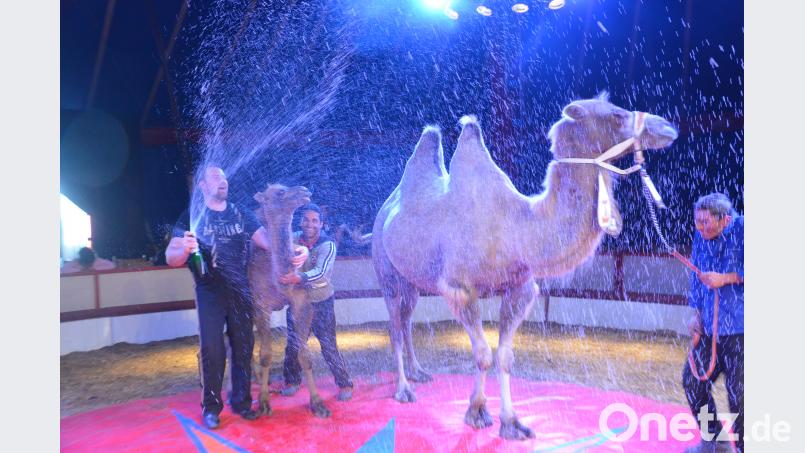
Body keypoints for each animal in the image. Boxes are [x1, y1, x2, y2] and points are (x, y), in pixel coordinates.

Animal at [246, 183, 333, 418]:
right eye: (280, 192)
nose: (304, 190)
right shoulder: (260, 305)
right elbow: (266, 354)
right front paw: (264, 402)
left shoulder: (301, 303)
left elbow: (304, 353)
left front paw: (318, 403)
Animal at [371, 93, 678, 439]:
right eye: (615, 116)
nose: (666, 127)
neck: (517, 231)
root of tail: (385, 211)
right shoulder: (459, 289)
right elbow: (482, 354)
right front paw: (476, 413)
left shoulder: (520, 288)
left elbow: (504, 356)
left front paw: (512, 423)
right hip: (386, 271)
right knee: (395, 327)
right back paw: (403, 389)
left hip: (412, 281)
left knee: (407, 320)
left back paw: (418, 373)